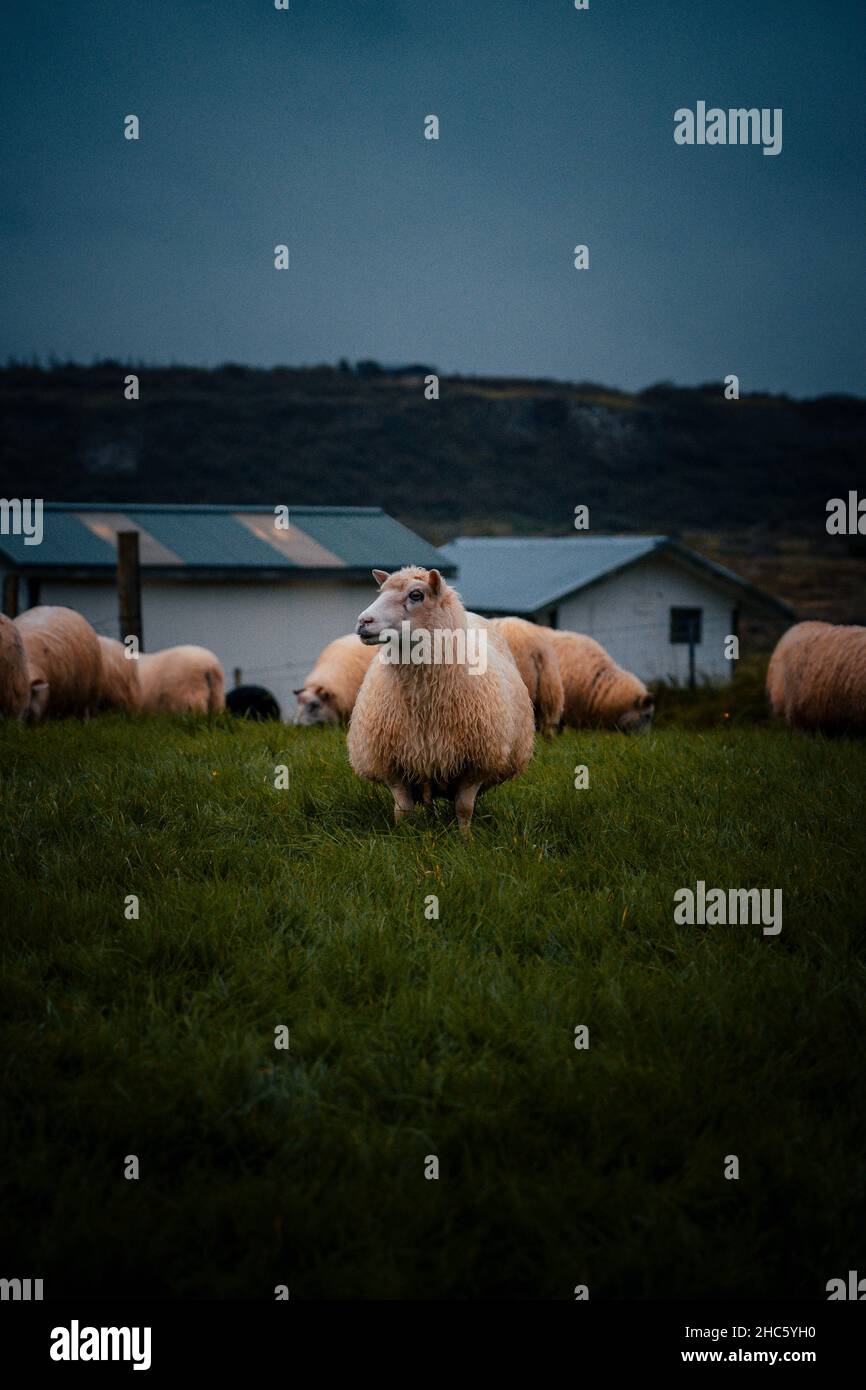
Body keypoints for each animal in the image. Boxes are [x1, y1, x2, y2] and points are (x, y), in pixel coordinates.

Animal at [346, 567, 536, 834]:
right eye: (381, 592)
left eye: (416, 595)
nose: (364, 621)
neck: (425, 701)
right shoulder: (391, 764)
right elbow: (402, 810)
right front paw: (403, 837)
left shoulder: (477, 764)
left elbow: (464, 808)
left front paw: (465, 839)